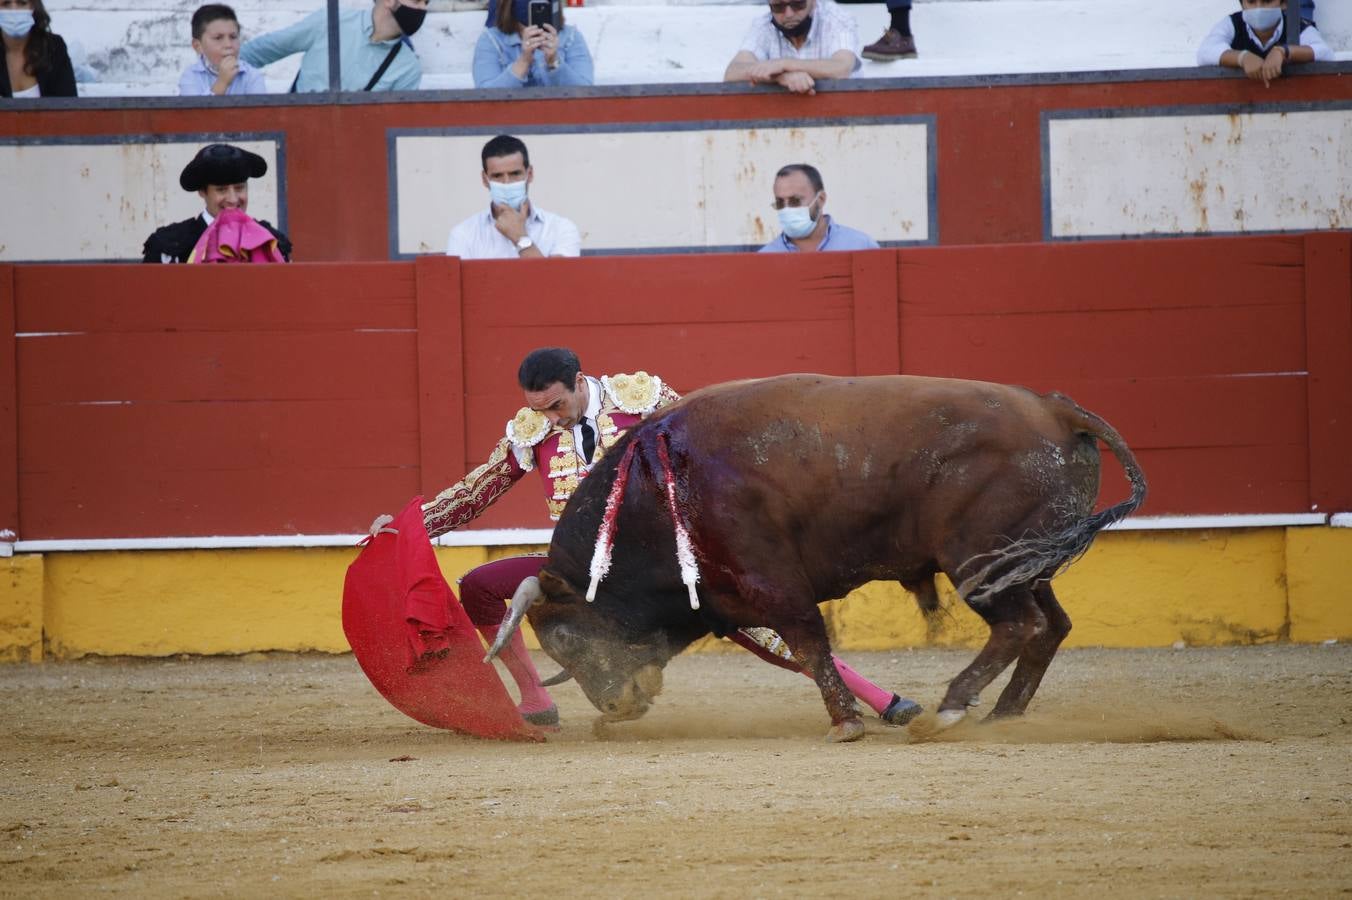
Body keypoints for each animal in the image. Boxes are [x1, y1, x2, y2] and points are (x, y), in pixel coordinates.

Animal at [486, 375, 1141, 740]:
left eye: (565, 639)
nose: (614, 703)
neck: (653, 491)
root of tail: (1056, 408)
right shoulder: (728, 601)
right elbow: (797, 651)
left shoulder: (772, 584)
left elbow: (808, 643)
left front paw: (846, 724)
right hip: (1026, 562)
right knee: (1051, 625)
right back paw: (1002, 715)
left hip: (981, 563)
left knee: (1019, 625)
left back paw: (949, 711)